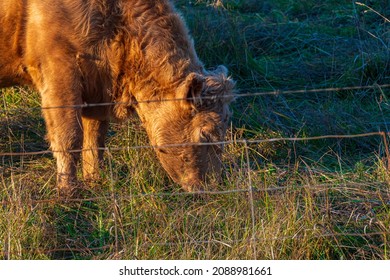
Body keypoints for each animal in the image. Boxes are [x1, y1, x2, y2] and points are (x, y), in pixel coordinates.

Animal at [0, 0, 235, 195]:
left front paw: (94, 181)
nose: (213, 186)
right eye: (205, 133)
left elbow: (95, 140)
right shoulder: (60, 74)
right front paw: (68, 191)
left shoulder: (97, 89)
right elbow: (69, 136)